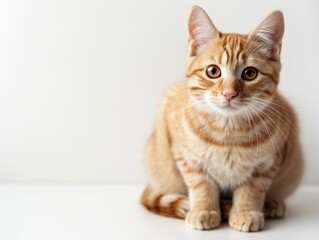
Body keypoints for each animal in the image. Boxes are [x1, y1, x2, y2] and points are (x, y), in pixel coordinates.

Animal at [141, 6, 304, 232]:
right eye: (213, 71)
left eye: (250, 73)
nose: (229, 94)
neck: (229, 132)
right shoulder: (186, 157)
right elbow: (202, 185)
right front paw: (204, 210)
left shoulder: (267, 164)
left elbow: (252, 190)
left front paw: (245, 212)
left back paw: (271, 204)